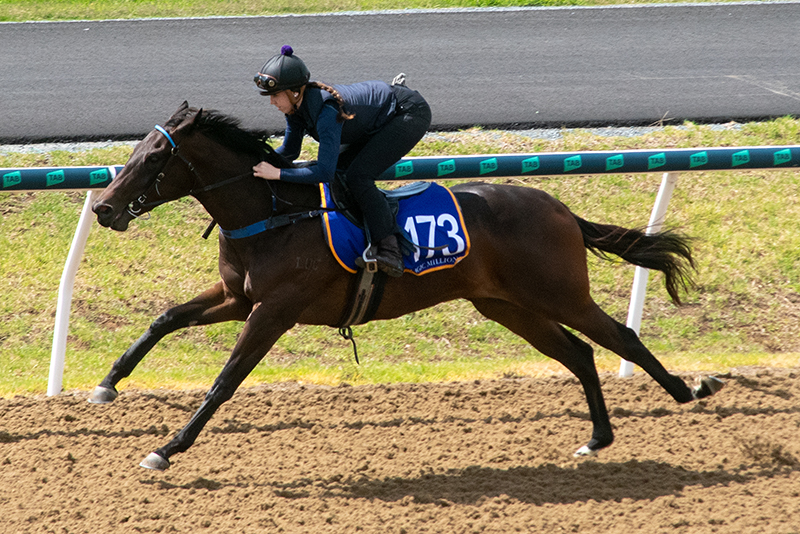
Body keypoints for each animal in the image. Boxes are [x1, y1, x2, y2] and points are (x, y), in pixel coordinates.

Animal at [90, 102, 720, 472]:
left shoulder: (274, 308)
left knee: (621, 339)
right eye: (134, 151)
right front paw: (107, 383)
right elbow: (165, 319)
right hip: (505, 306)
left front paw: (166, 448)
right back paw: (597, 438)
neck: (273, 213)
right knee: (580, 353)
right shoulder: (238, 297)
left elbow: (225, 380)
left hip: (559, 293)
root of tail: (559, 207)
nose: (102, 208)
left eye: (153, 158)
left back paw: (689, 390)